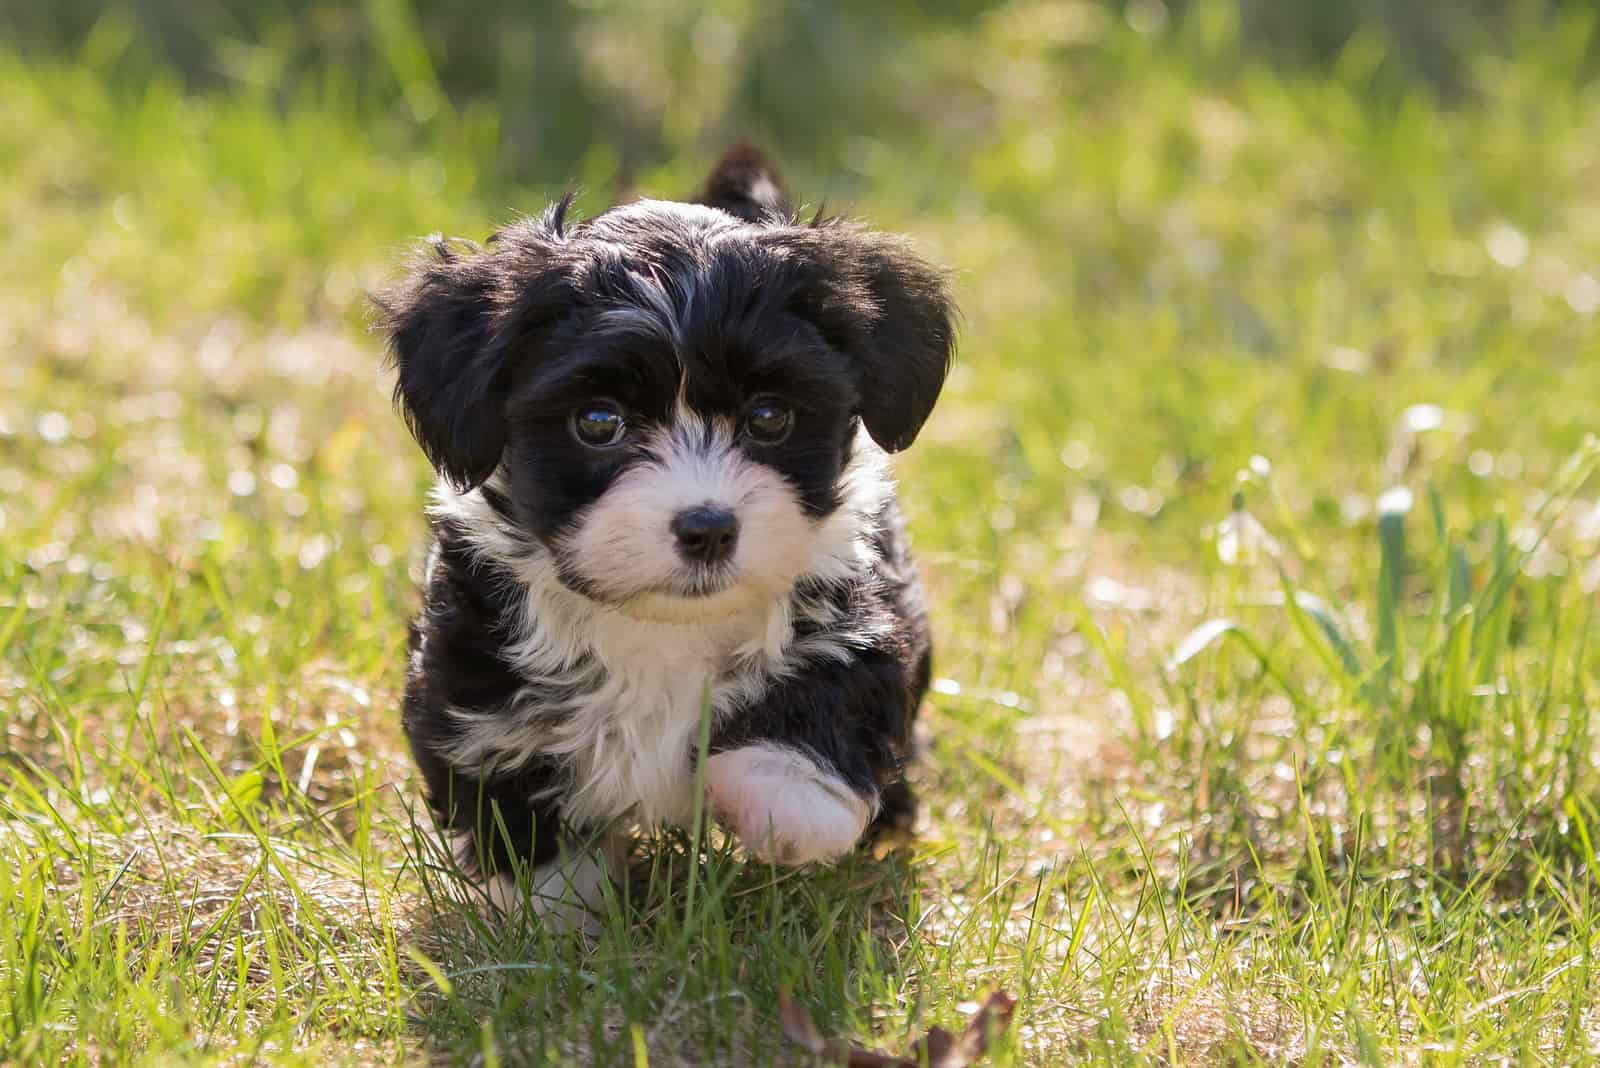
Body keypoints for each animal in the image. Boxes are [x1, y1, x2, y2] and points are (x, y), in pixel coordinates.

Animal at [380, 146, 953, 920]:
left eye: (769, 417)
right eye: (598, 422)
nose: (707, 528)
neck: (664, 625)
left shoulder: (857, 600)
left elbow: (839, 689)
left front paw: (779, 797)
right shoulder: (473, 674)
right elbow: (514, 802)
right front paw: (554, 915)